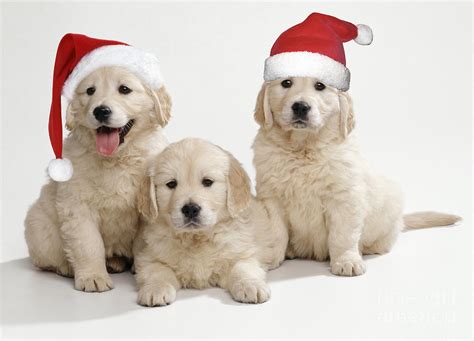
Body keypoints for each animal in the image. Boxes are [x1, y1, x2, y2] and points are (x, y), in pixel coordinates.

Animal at [24, 33, 172, 290]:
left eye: (124, 89)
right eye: (90, 91)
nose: (101, 111)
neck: (116, 159)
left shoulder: (148, 207)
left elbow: (143, 244)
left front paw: (142, 268)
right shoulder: (77, 205)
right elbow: (88, 243)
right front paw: (93, 277)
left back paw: (115, 262)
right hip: (39, 226)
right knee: (46, 259)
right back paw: (67, 267)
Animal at [134, 138, 288, 306]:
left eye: (207, 182)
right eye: (171, 184)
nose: (190, 209)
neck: (197, 238)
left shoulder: (243, 252)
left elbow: (243, 268)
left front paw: (250, 286)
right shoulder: (148, 256)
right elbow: (156, 271)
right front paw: (156, 289)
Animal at [254, 75, 462, 274]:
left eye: (320, 86)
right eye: (286, 83)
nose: (300, 107)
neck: (303, 147)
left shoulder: (344, 197)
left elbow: (342, 235)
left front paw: (347, 261)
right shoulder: (271, 198)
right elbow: (276, 232)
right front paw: (270, 258)